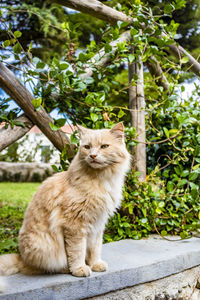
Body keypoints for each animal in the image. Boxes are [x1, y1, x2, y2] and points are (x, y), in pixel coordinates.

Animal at [0, 123, 130, 278]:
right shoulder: (75, 226)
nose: (92, 155)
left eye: (104, 146)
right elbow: (77, 252)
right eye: (87, 147)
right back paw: (67, 268)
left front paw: (95, 264)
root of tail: (22, 259)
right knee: (50, 267)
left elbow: (95, 248)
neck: (100, 179)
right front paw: (80, 268)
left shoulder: (98, 224)